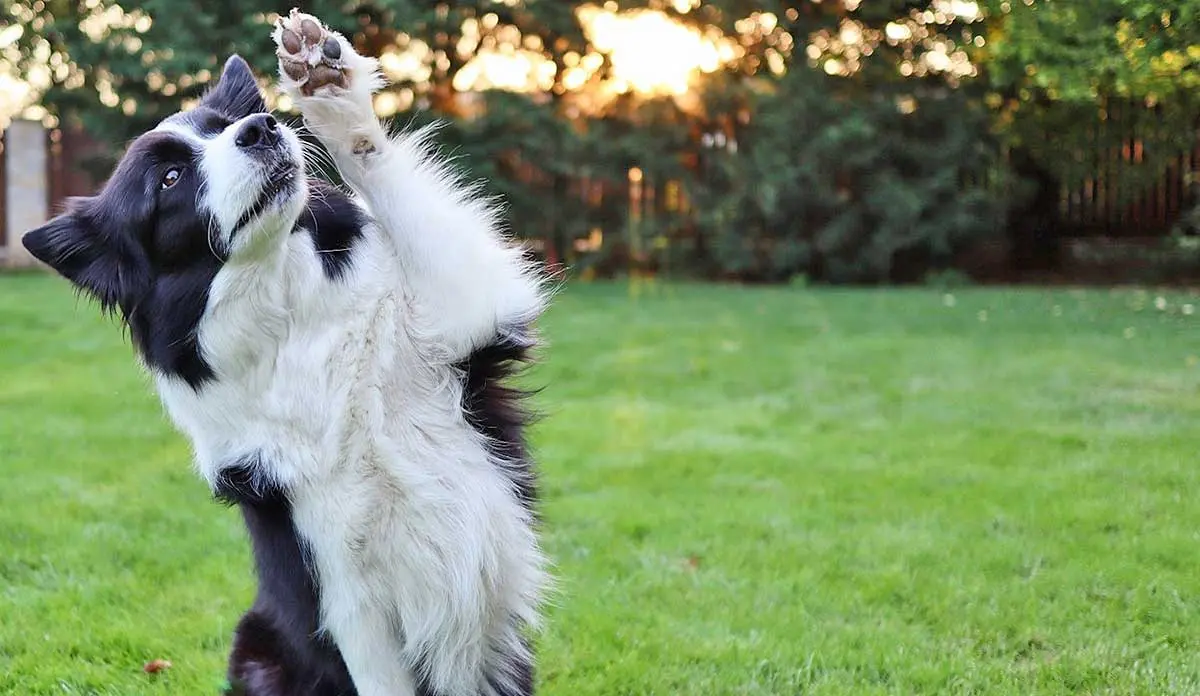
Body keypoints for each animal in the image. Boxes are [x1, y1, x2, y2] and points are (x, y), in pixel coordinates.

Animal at [24, 10, 549, 696]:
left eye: (222, 128)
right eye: (169, 179)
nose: (261, 127)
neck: (295, 319)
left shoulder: (464, 314)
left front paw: (328, 90)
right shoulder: (343, 592)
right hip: (256, 645)